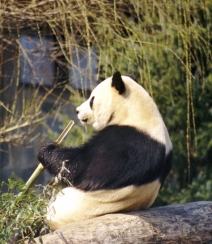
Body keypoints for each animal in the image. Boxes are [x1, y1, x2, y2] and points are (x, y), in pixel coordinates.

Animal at [36, 71, 172, 231]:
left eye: (92, 100)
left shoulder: (128, 143)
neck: (136, 111)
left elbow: (81, 167)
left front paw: (47, 149)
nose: (77, 111)